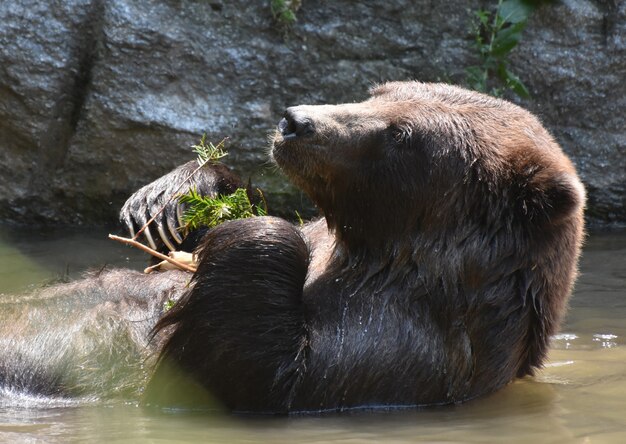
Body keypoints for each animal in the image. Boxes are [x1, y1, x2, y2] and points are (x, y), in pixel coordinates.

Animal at [140, 82, 584, 412]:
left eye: (401, 134)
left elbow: (252, 374)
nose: (295, 121)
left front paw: (258, 228)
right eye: (378, 93)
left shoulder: (389, 351)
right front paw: (174, 198)